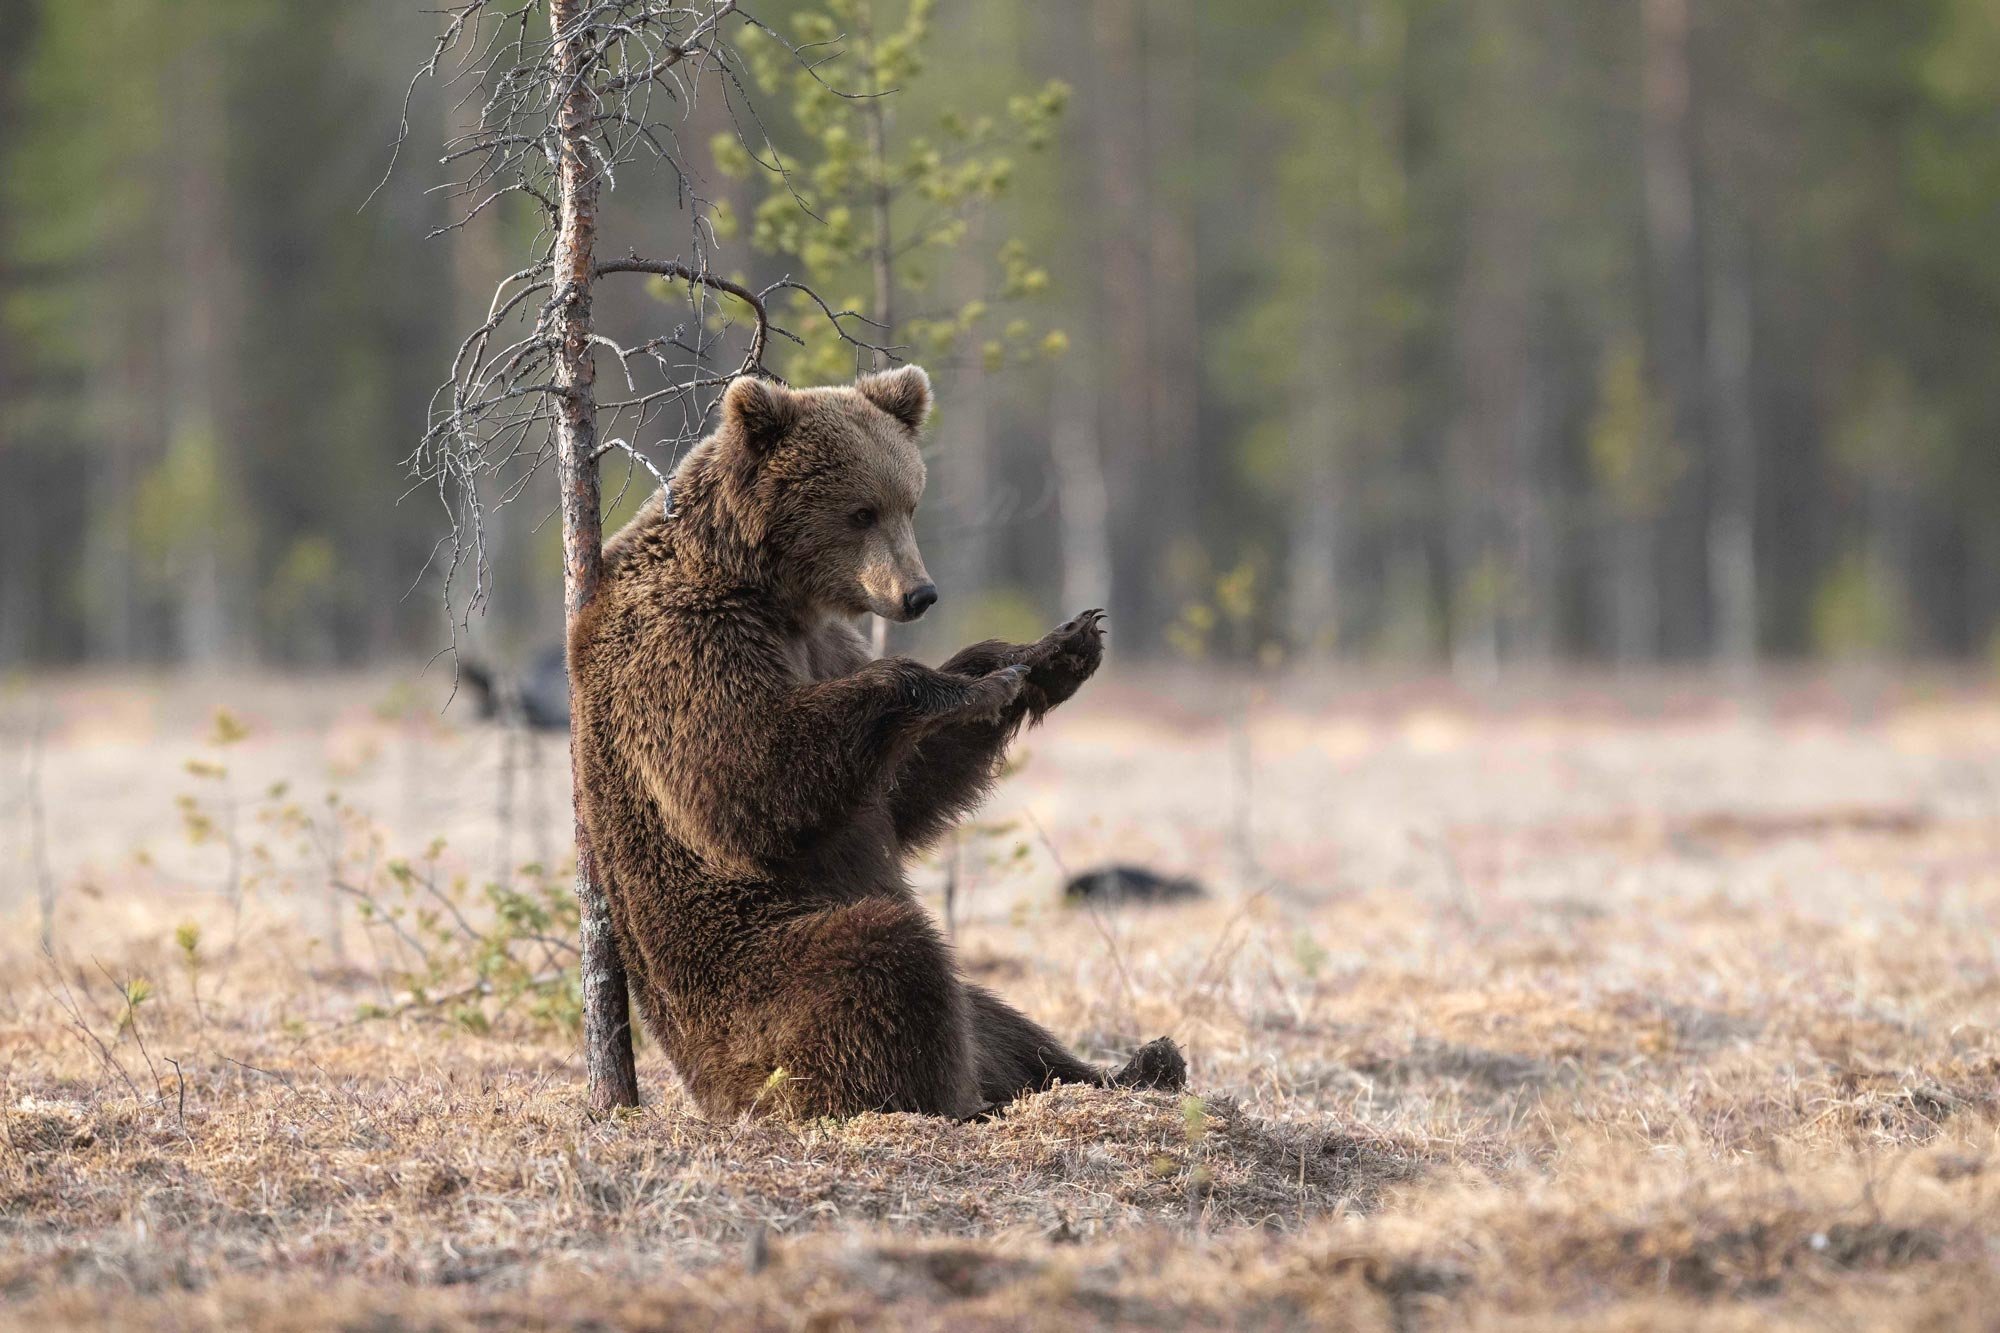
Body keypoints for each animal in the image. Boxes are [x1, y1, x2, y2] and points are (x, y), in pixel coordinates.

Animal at [568, 364, 1186, 1120]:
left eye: (909, 503)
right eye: (860, 510)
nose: (920, 594)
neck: (771, 592)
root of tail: (713, 1089)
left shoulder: (827, 644)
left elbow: (900, 791)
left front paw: (1053, 651)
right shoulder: (688, 641)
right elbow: (746, 778)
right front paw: (962, 686)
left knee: (997, 1023)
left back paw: (1137, 1064)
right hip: (747, 979)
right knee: (885, 963)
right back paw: (958, 1100)